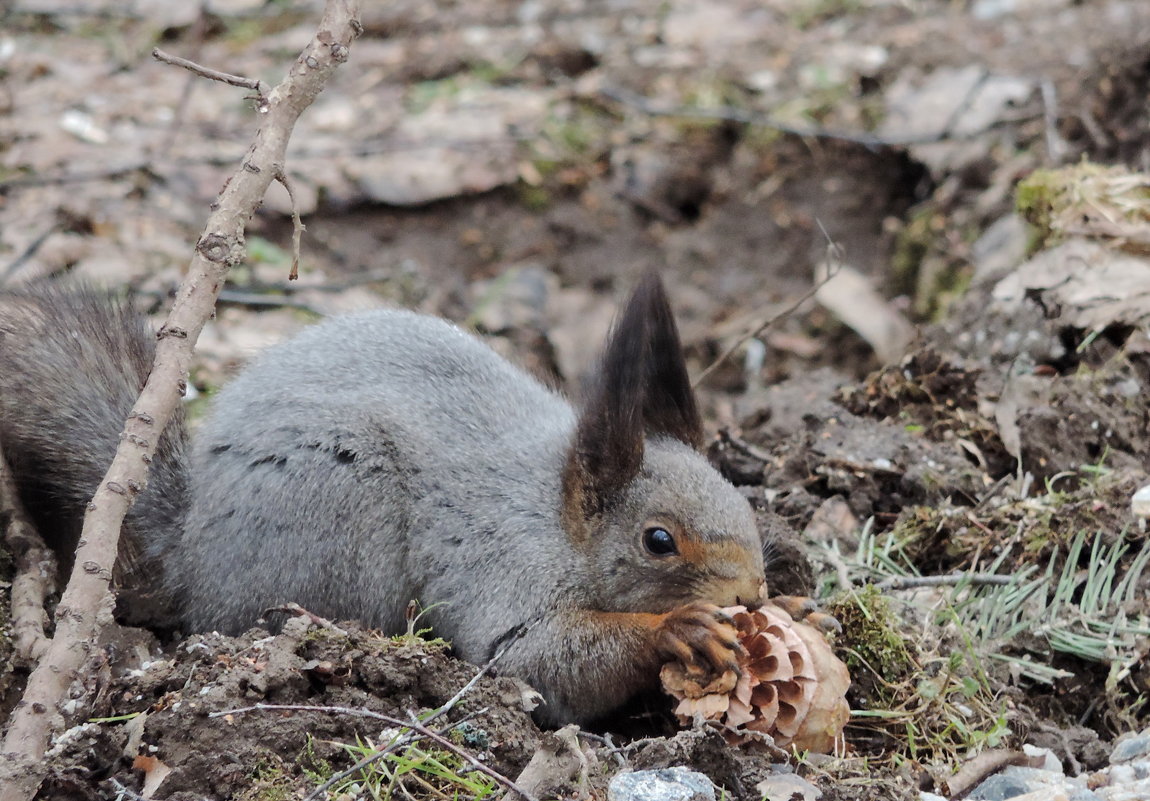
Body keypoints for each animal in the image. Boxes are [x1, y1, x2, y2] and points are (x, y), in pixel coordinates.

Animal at [2, 274, 772, 726]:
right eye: (658, 540)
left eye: (744, 503)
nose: (752, 596)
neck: (555, 517)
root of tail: (192, 548)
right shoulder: (508, 568)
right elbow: (541, 660)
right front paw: (676, 627)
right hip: (341, 512)